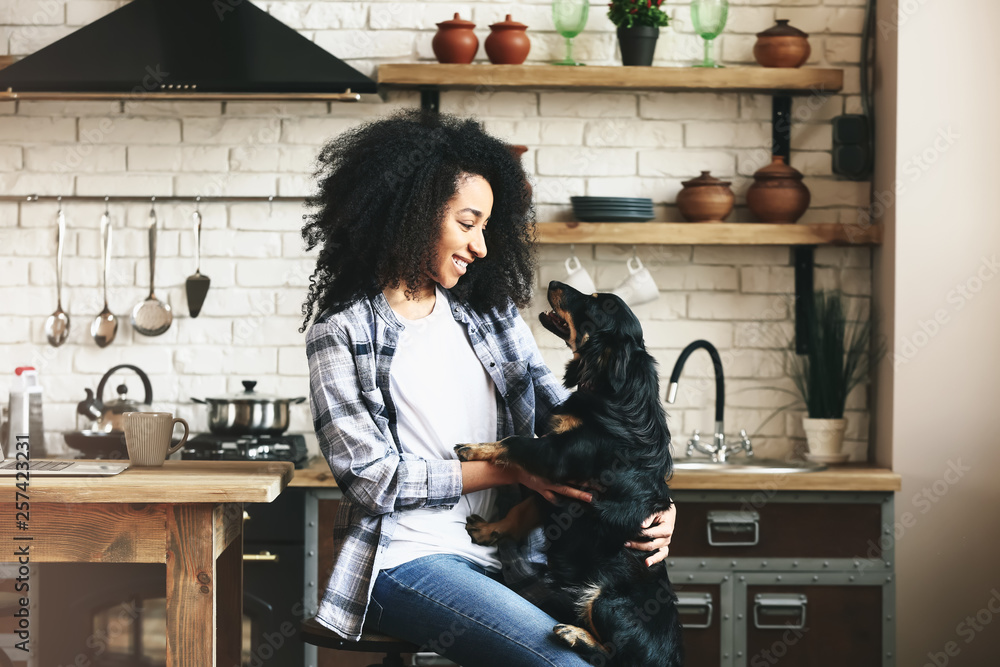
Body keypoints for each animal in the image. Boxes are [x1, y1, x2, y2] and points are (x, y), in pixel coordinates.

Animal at [456, 280, 684, 664]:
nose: (551, 283)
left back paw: (575, 635)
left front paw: (474, 449)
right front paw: (489, 530)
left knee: (610, 655)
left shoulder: (559, 457)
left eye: (595, 303)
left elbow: (514, 441)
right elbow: (521, 510)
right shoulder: (557, 493)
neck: (612, 391)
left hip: (606, 599)